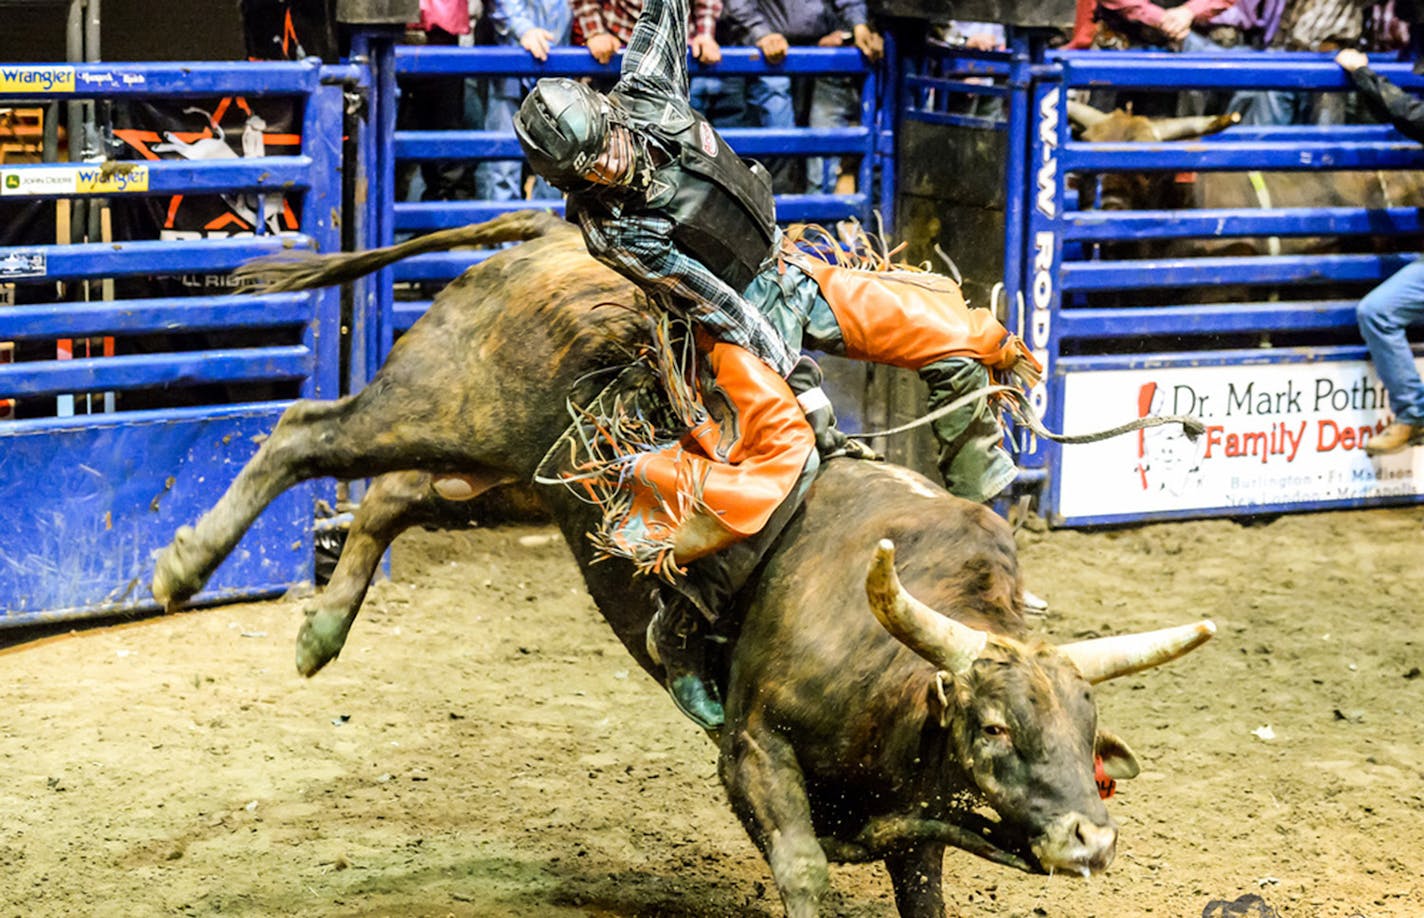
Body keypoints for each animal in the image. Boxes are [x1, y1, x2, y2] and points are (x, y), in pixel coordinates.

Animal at [150, 210, 1213, 910]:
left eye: (1090, 729)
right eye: (993, 727)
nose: (1090, 836)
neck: (895, 674)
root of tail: (550, 239)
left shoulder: (916, 828)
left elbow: (922, 890)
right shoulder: (755, 757)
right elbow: (802, 870)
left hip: (521, 477)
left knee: (392, 497)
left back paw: (320, 634)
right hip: (443, 400)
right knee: (307, 431)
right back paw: (183, 567)